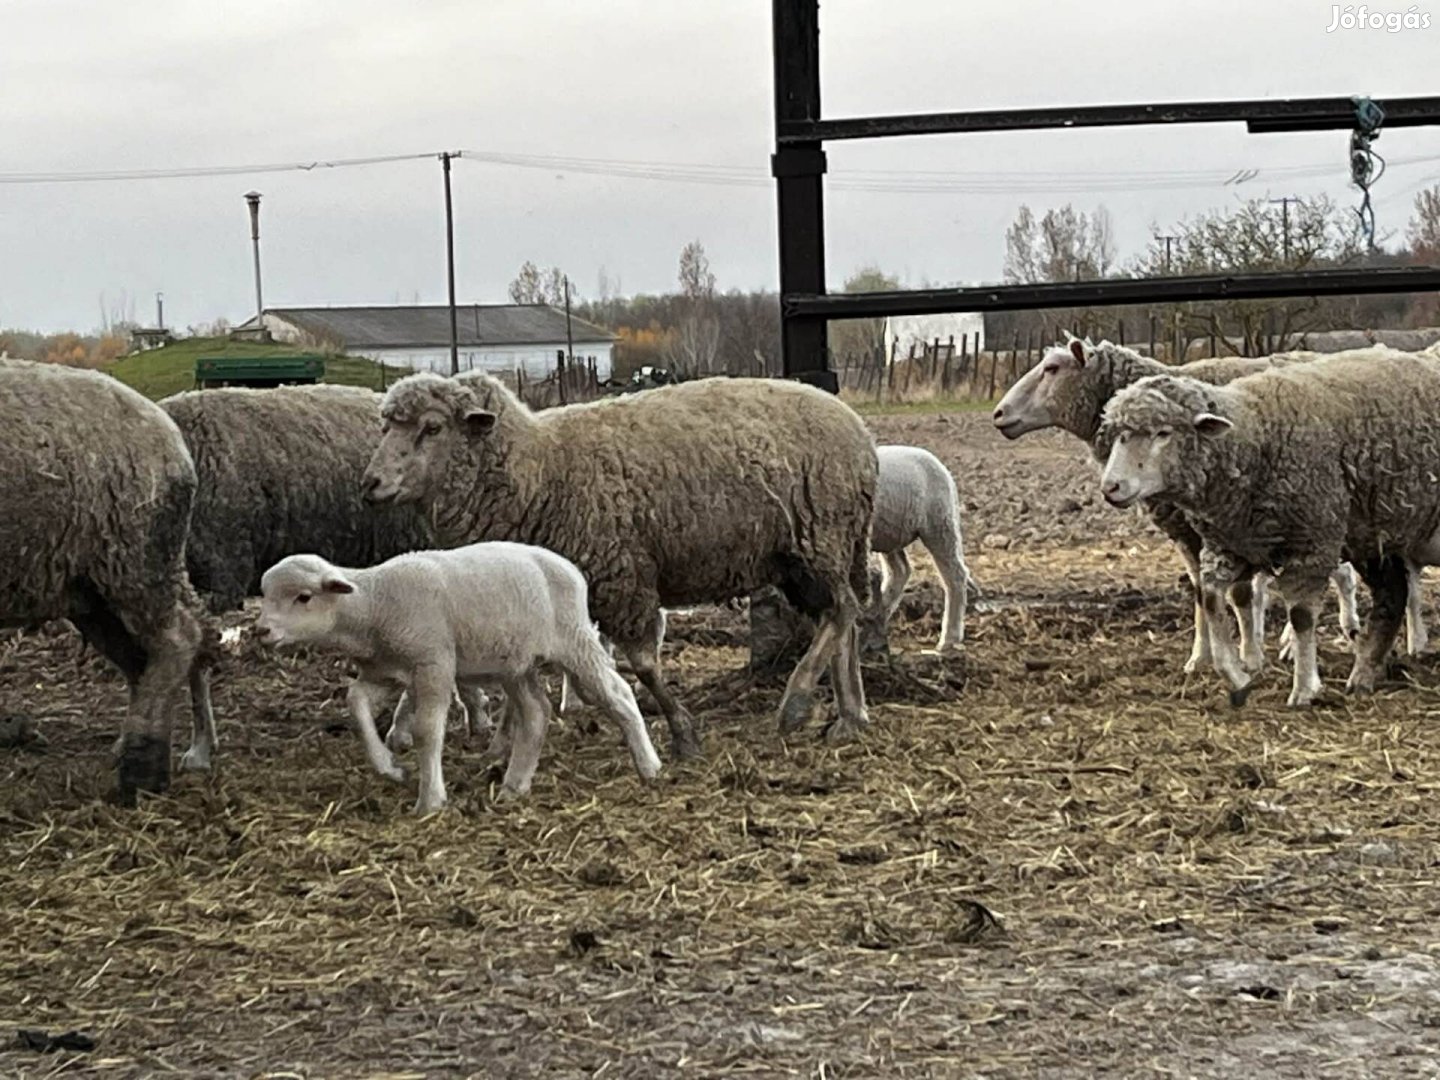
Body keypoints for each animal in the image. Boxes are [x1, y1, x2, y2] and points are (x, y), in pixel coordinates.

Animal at [255, 543, 663, 813]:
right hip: (516, 662)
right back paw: (515, 784)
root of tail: (571, 569)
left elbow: (427, 730)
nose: (261, 630)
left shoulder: (433, 664)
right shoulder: (386, 672)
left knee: (618, 694)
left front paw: (430, 800)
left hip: (574, 641)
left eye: (304, 597)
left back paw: (649, 765)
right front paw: (389, 767)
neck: (374, 604)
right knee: (535, 713)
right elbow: (355, 703)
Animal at [360, 371, 878, 757]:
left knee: (843, 612)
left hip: (820, 537)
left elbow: (644, 664)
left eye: (432, 427)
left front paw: (683, 733)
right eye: (384, 428)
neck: (537, 475)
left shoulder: (623, 577)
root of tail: (860, 432)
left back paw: (797, 703)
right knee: (842, 617)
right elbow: (520, 676)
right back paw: (850, 716)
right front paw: (502, 747)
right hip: (804, 554)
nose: (370, 484)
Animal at [993, 338, 1363, 671]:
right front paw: (1201, 658)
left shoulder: (1228, 523)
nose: (998, 413)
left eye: (1052, 368)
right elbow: (1201, 592)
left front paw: (1249, 658)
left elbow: (1240, 595)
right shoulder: (1187, 531)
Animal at [1097, 348, 1440, 706]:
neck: (1253, 436)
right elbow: (1211, 599)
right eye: (1119, 437)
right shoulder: (1230, 545)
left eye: (1163, 433)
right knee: (1392, 595)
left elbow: (1301, 617)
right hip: (1374, 535)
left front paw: (1304, 688)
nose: (1111, 487)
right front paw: (1237, 676)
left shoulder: (1312, 543)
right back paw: (1364, 675)